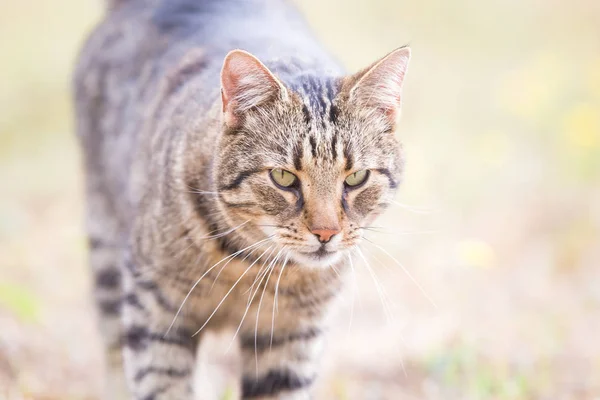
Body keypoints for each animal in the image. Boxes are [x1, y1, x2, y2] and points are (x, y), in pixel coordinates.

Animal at [72, 0, 410, 396]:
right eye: (283, 177)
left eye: (356, 177)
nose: (326, 233)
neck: (251, 266)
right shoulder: (152, 309)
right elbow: (160, 385)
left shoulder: (292, 337)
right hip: (107, 251)